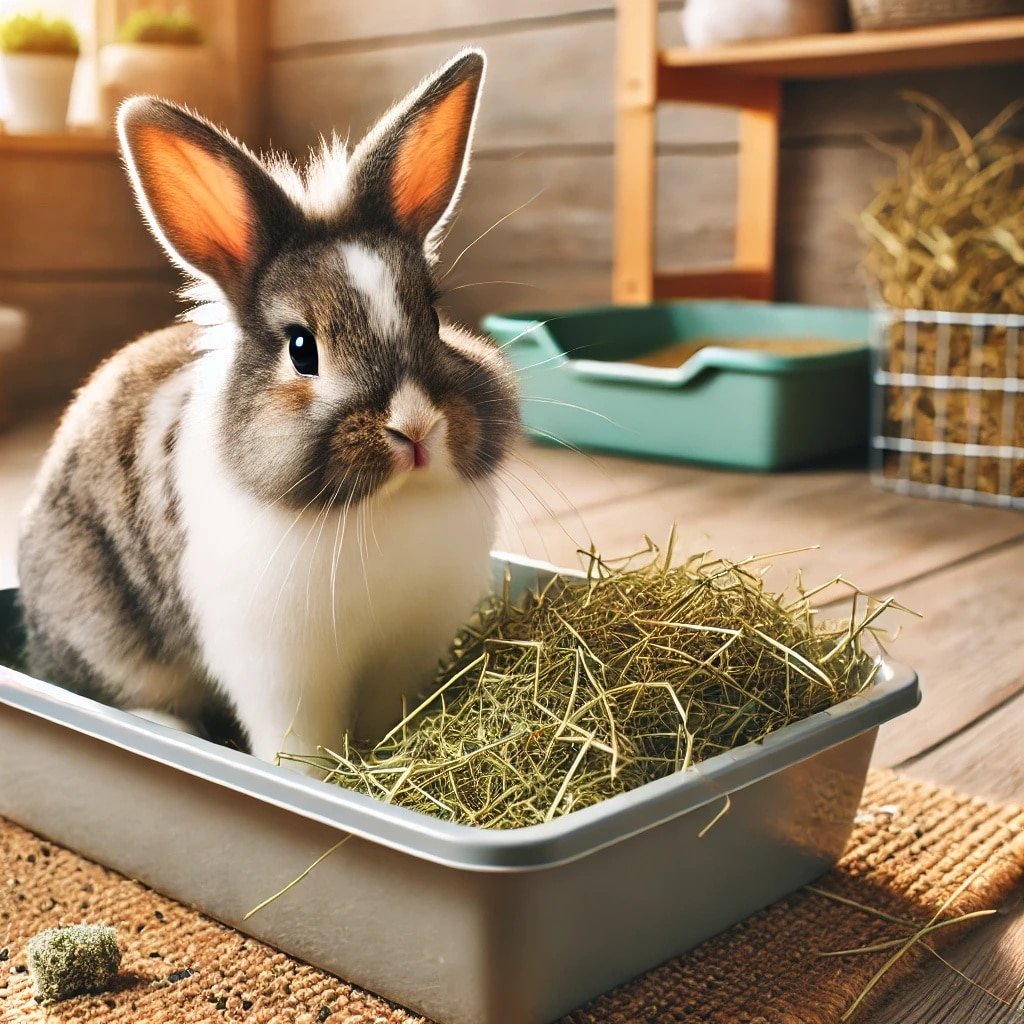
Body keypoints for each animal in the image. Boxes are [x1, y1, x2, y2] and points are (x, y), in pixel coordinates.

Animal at [17, 49, 520, 767]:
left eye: (432, 313)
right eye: (302, 348)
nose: (416, 428)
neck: (384, 507)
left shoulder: (406, 649)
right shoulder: (281, 671)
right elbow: (301, 746)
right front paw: (324, 779)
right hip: (102, 632)